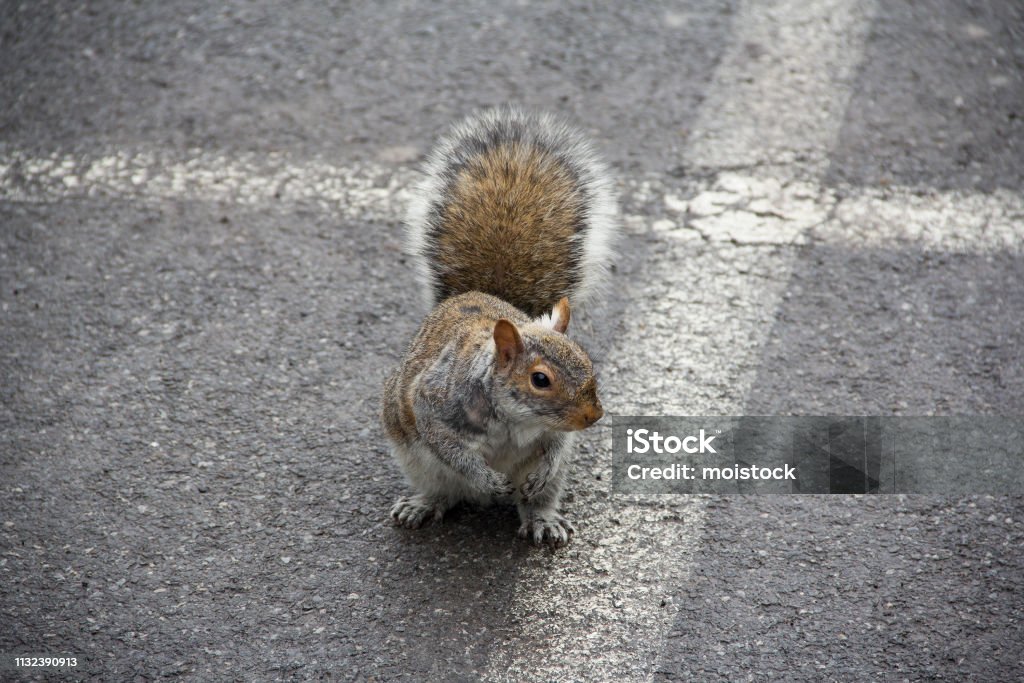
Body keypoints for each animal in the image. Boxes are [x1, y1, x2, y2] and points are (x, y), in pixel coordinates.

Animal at [378, 107, 610, 548]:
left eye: (589, 364)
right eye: (540, 379)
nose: (593, 417)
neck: (518, 421)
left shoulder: (554, 434)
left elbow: (556, 446)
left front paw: (539, 474)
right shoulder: (434, 405)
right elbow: (451, 449)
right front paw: (488, 480)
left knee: (539, 498)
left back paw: (543, 519)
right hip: (416, 460)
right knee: (443, 489)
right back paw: (423, 504)